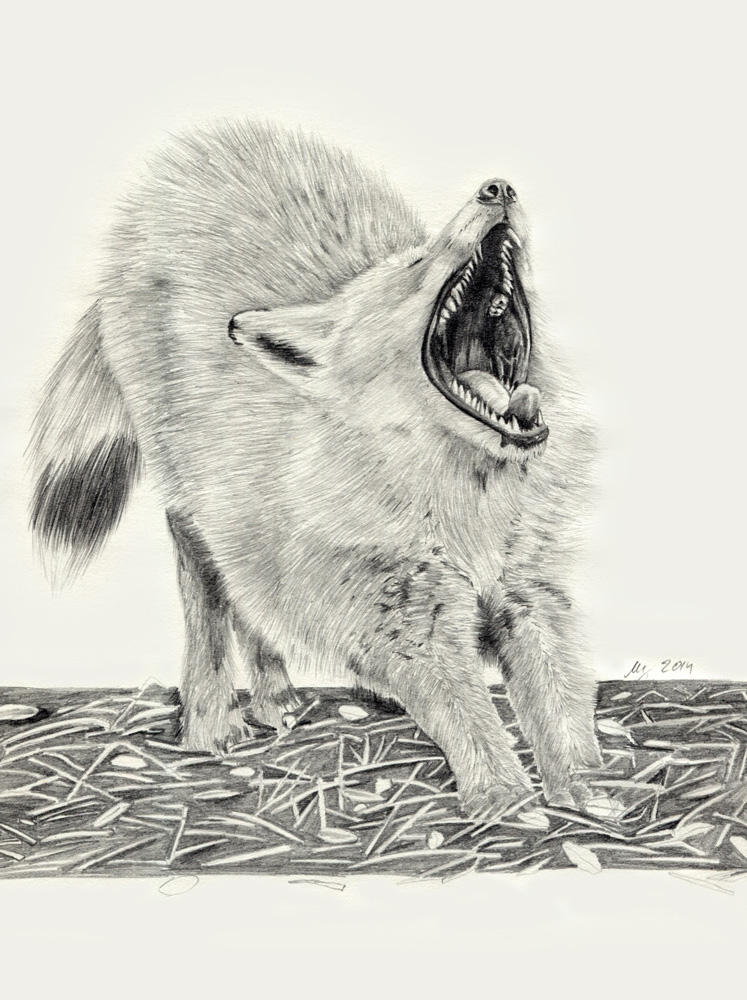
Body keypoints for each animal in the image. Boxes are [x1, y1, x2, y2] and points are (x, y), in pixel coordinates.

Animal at [29, 121, 603, 816]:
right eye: (416, 265)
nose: (497, 188)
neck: (467, 507)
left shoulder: (529, 592)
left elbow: (562, 707)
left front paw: (586, 793)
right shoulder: (404, 616)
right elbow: (470, 718)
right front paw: (504, 802)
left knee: (250, 600)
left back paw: (276, 699)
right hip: (194, 490)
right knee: (206, 584)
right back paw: (207, 723)